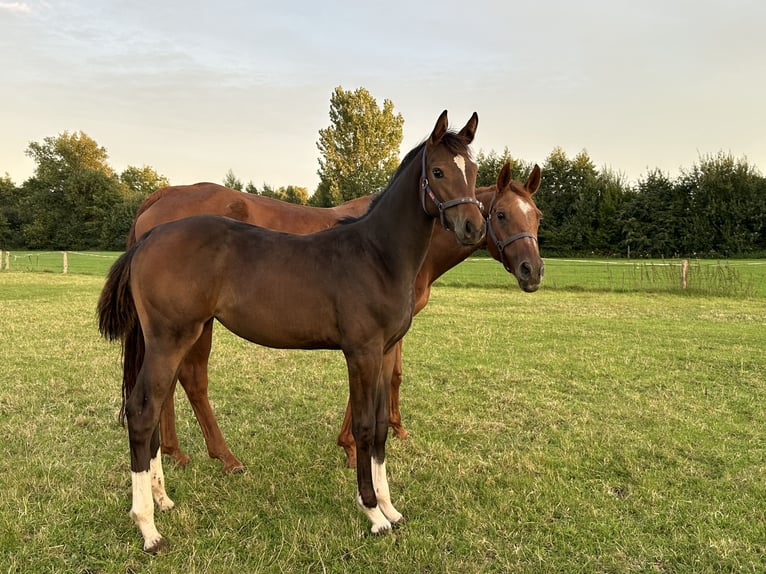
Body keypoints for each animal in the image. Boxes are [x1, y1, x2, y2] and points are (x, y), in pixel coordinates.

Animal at [98, 110, 485, 552]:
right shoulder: (362, 352)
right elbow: (364, 426)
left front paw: (391, 509)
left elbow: (381, 427)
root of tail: (148, 237)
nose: (473, 227)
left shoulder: (386, 351)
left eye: (473, 171)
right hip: (171, 338)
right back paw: (148, 527)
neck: (377, 256)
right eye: (438, 171)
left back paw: (162, 499)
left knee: (154, 405)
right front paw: (372, 513)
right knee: (143, 410)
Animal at [129, 161, 542, 472]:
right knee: (191, 380)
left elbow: (393, 375)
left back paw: (173, 452)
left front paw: (394, 428)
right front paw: (352, 445)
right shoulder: (369, 332)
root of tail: (164, 195)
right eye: (501, 214)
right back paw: (222, 457)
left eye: (536, 216)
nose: (532, 270)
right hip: (194, 326)